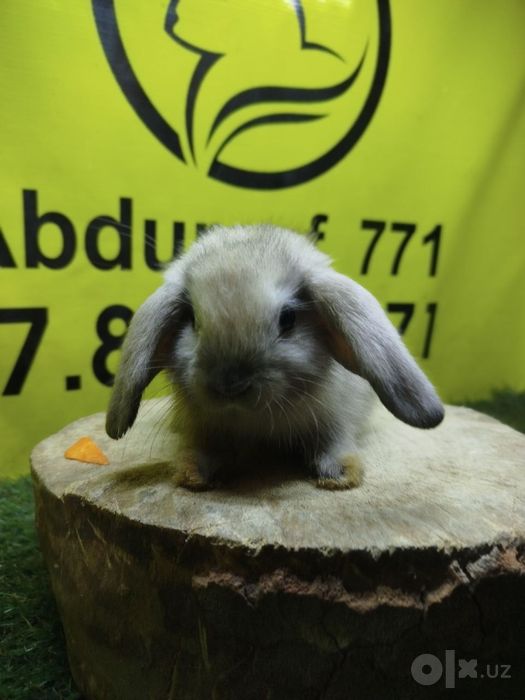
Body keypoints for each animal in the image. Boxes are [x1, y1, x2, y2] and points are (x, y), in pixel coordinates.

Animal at [106, 224, 444, 490]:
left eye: (288, 318)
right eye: (191, 318)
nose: (230, 385)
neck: (254, 420)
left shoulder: (334, 418)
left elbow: (333, 443)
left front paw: (340, 475)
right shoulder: (206, 427)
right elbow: (206, 449)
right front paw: (193, 474)